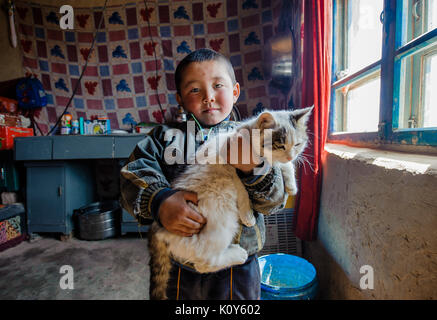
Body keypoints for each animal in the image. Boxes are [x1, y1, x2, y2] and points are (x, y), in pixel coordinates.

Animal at [148, 107, 312, 300]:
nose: (290, 156)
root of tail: (159, 228)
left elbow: (280, 166)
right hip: (221, 223)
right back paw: (238, 254)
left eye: (297, 145)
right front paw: (248, 215)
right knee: (205, 261)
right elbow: (242, 189)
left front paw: (291, 183)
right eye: (280, 145)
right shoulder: (227, 166)